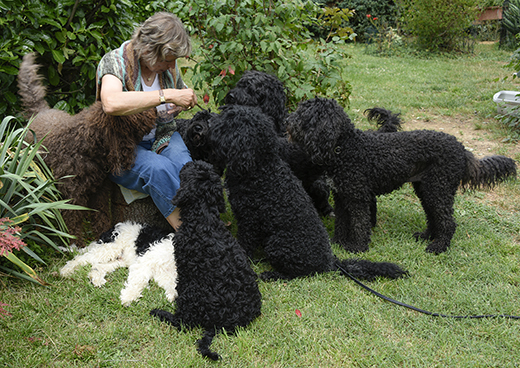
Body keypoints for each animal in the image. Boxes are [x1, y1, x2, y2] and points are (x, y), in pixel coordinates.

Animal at [150, 160, 264, 360]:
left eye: (191, 169)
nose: (190, 161)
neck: (204, 219)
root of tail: (223, 325)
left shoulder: (184, 269)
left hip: (193, 293)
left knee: (183, 323)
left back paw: (160, 313)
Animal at [189, 103, 408, 282]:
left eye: (228, 123)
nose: (202, 125)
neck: (259, 168)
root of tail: (330, 262)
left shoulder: (250, 221)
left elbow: (244, 244)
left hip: (277, 244)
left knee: (298, 274)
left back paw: (272, 274)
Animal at [286, 97, 516, 253]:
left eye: (304, 114)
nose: (287, 119)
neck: (345, 147)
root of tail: (462, 150)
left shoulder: (358, 197)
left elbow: (360, 224)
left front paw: (358, 248)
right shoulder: (342, 196)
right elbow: (342, 223)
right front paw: (338, 243)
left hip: (439, 188)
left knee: (447, 221)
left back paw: (438, 247)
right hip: (427, 189)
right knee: (433, 215)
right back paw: (426, 236)